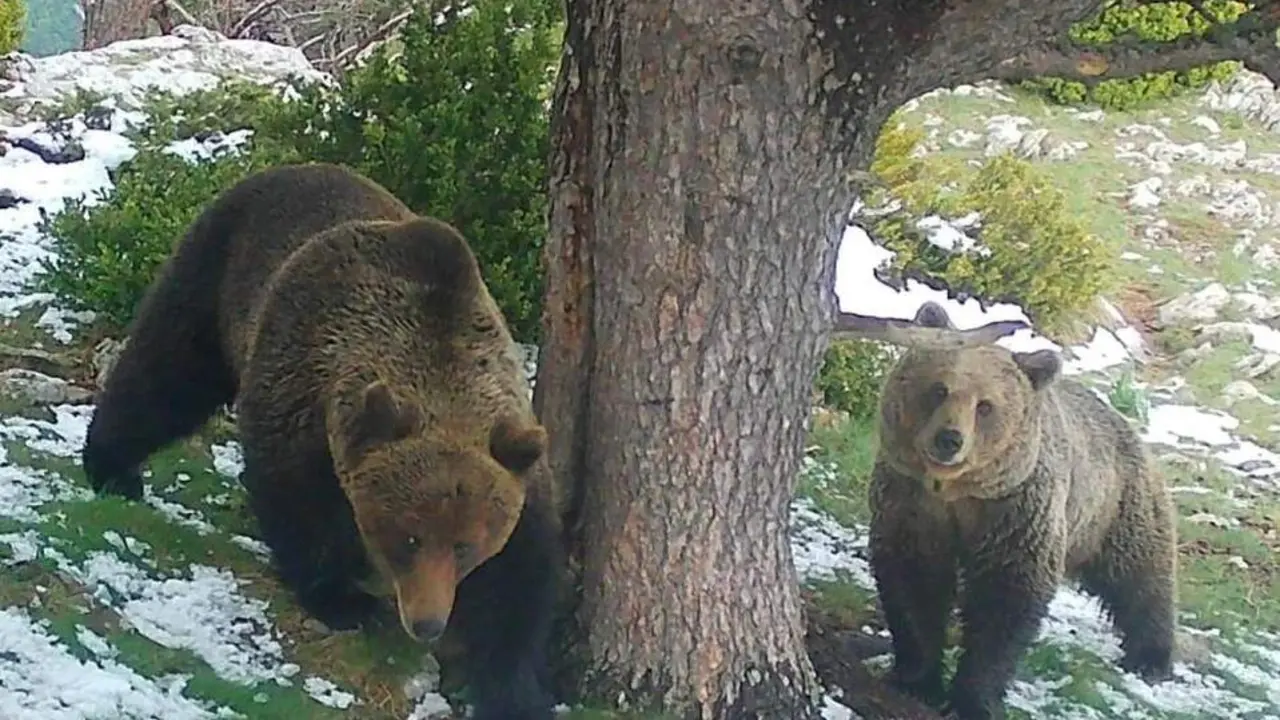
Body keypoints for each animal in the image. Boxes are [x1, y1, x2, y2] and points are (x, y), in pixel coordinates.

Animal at [80, 162, 563, 720]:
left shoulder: (514, 463)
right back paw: (112, 467)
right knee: (167, 368)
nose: (427, 623)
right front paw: (346, 600)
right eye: (409, 536)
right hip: (216, 267)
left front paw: (514, 688)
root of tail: (288, 168)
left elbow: (521, 582)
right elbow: (297, 502)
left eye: (465, 544)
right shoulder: (303, 386)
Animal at [865, 301, 1177, 720]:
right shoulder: (911, 503)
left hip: (1116, 508)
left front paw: (971, 698)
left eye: (985, 406)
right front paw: (918, 678)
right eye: (939, 389)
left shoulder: (1016, 512)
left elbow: (1006, 598)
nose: (949, 439)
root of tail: (1127, 425)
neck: (955, 492)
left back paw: (1151, 657)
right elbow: (915, 580)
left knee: (1140, 577)